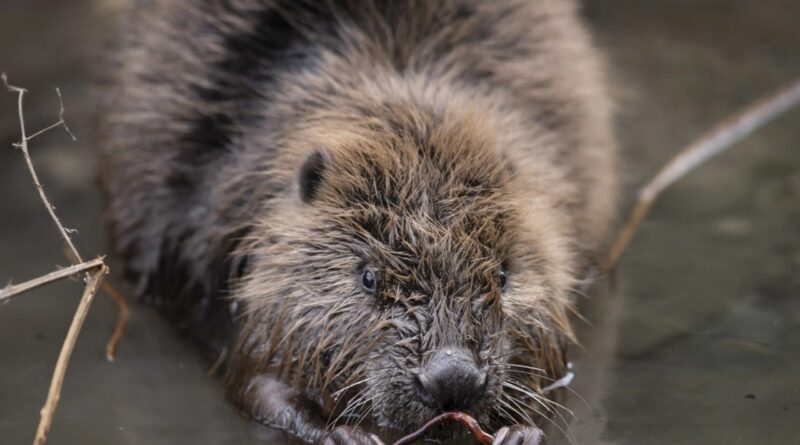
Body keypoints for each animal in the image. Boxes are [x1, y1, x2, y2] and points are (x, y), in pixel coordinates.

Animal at [97, 0, 616, 444]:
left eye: (504, 275)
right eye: (367, 277)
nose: (453, 378)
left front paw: (521, 429)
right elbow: (250, 375)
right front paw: (341, 433)